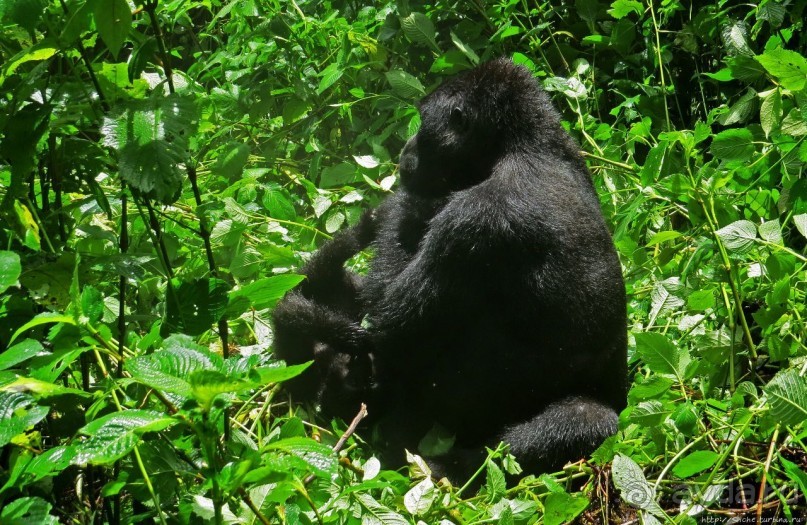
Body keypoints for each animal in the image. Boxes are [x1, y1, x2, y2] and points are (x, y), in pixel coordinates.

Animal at [272, 57, 624, 478]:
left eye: (424, 125)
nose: (406, 148)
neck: (523, 147)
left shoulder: (472, 219)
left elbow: (389, 327)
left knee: (580, 422)